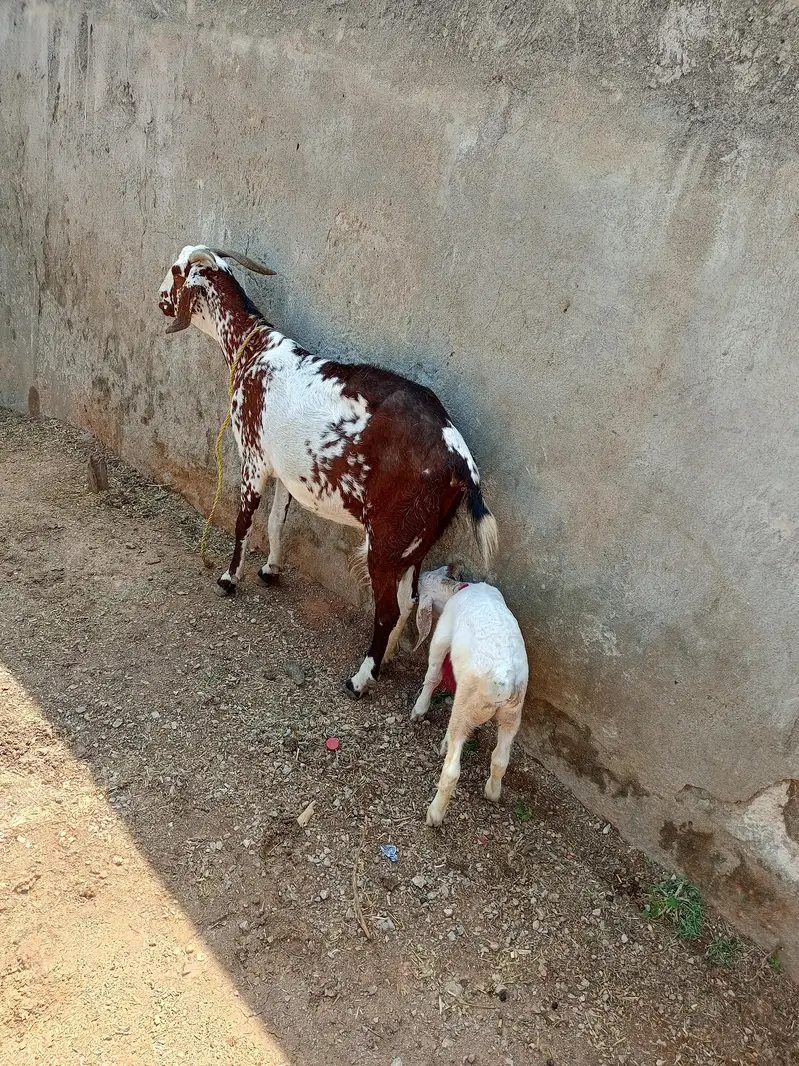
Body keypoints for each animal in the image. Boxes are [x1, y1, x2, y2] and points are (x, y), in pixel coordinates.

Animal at [158, 245, 498, 697]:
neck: (254, 351)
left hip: (387, 538)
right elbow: (277, 522)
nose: (158, 300)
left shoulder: (254, 460)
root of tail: (459, 457)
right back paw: (386, 660)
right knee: (407, 601)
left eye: (176, 271)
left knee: (388, 609)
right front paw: (271, 570)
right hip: (417, 541)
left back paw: (361, 678)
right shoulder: (286, 472)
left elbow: (244, 522)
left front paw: (230, 578)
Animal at [411, 566, 528, 826]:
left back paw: (435, 814)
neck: (457, 589)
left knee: (452, 770)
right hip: (512, 715)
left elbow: (433, 673)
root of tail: (504, 683)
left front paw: (419, 710)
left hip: (469, 704)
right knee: (500, 759)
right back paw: (492, 792)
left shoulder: (442, 634)